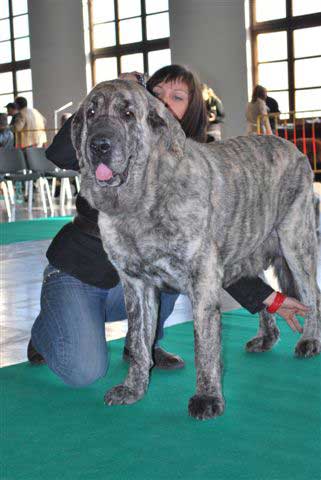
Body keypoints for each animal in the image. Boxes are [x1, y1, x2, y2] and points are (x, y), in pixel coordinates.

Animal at [70, 79, 320, 420]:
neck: (143, 199)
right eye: (91, 113)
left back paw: (309, 341)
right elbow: (139, 341)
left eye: (128, 114)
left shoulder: (202, 282)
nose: (99, 145)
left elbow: (205, 346)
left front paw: (207, 398)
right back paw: (267, 338)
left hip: (296, 242)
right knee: (265, 291)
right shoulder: (136, 285)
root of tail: (294, 148)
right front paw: (134, 389)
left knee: (311, 293)